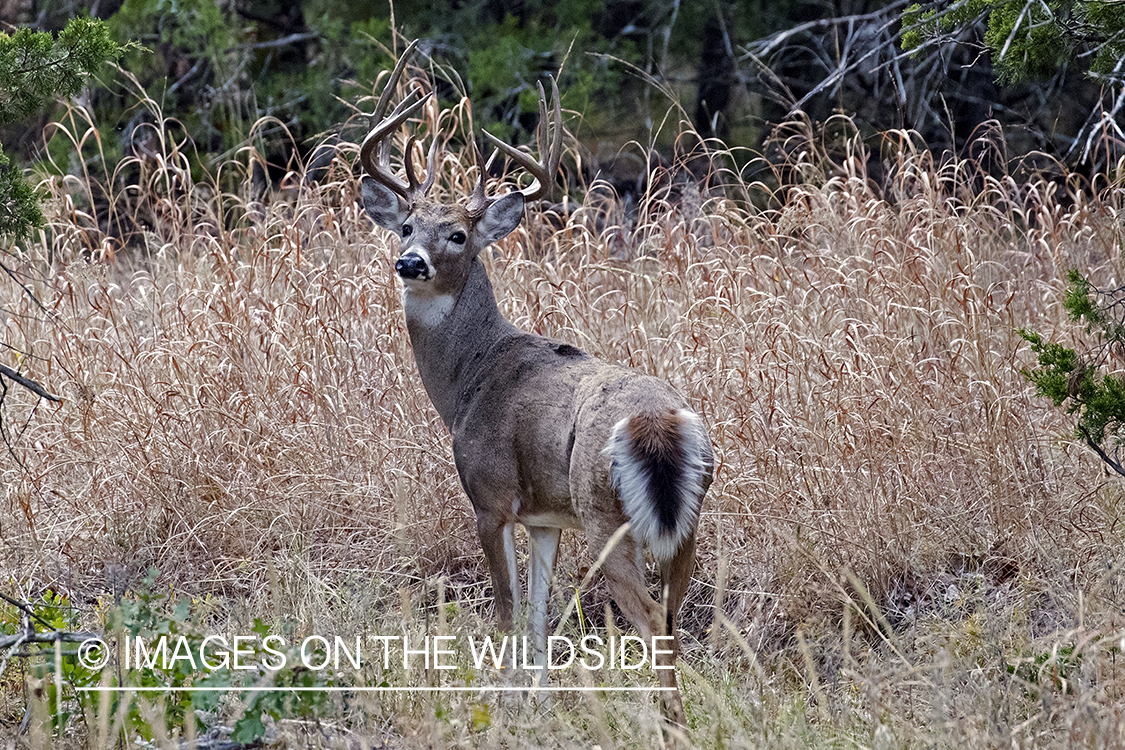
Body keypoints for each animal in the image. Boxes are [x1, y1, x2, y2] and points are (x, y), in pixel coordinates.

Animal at [360, 41, 711, 728]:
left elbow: (506, 611)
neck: (467, 381)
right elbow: (541, 615)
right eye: (406, 226)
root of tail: (658, 424)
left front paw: (500, 707)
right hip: (687, 519)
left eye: (458, 234)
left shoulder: (490, 497)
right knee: (674, 612)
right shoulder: (546, 517)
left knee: (653, 618)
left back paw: (669, 724)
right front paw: (537, 704)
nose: (410, 263)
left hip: (607, 515)